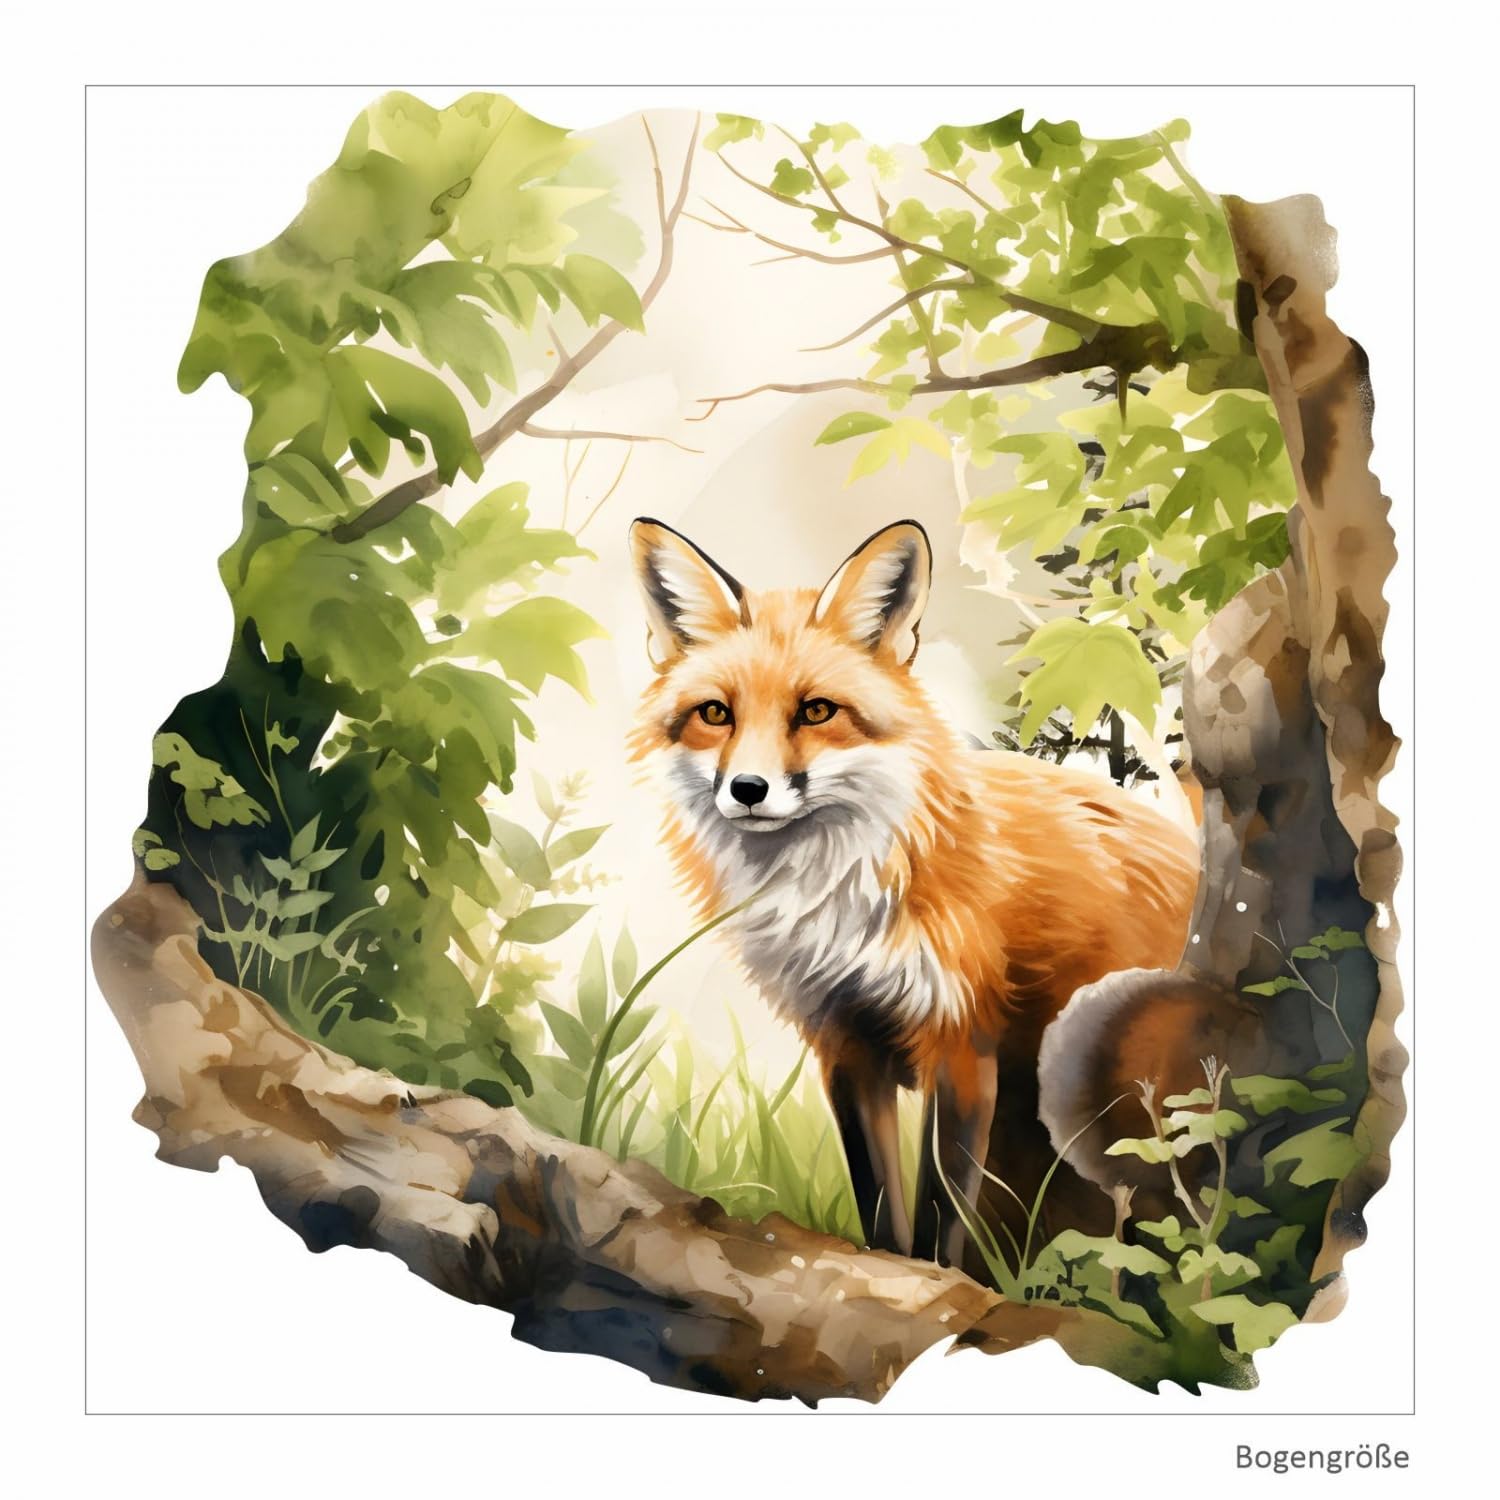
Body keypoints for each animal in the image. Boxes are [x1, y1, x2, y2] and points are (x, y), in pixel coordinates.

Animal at [627, 515, 1203, 1267]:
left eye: (817, 710)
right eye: (716, 713)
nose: (748, 790)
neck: (838, 902)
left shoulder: (961, 1045)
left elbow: (939, 1210)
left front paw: (936, 1279)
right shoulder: (843, 1042)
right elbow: (879, 1204)